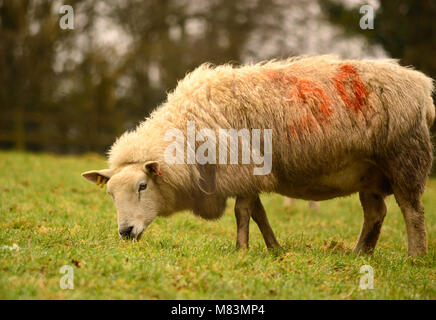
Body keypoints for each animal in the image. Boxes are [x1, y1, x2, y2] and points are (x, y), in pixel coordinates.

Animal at [81, 54, 432, 255]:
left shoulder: (241, 166)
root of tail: (422, 86)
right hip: (369, 172)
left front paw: (241, 249)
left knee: (412, 211)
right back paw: (360, 253)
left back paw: (415, 257)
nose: (125, 232)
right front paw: (274, 248)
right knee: (376, 213)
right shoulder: (250, 172)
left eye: (142, 186)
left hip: (404, 157)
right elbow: (259, 213)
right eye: (110, 194)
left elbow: (243, 212)